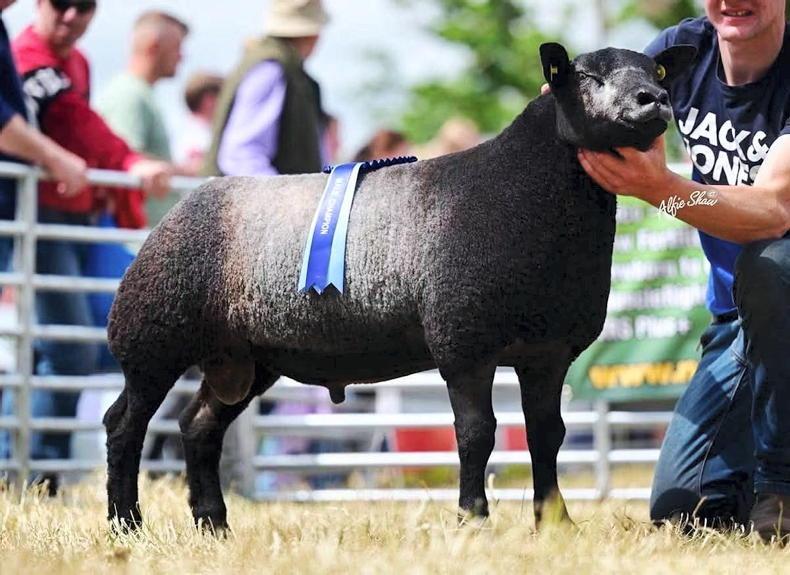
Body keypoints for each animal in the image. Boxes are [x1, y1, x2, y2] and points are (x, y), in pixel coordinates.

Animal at [103, 42, 696, 532]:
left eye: (658, 71)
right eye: (588, 75)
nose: (654, 101)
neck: (527, 194)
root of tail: (186, 203)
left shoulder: (547, 352)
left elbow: (547, 435)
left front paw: (556, 525)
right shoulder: (464, 343)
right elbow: (476, 434)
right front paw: (472, 520)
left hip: (244, 358)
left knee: (198, 425)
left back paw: (213, 525)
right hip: (152, 337)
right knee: (124, 424)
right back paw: (126, 524)